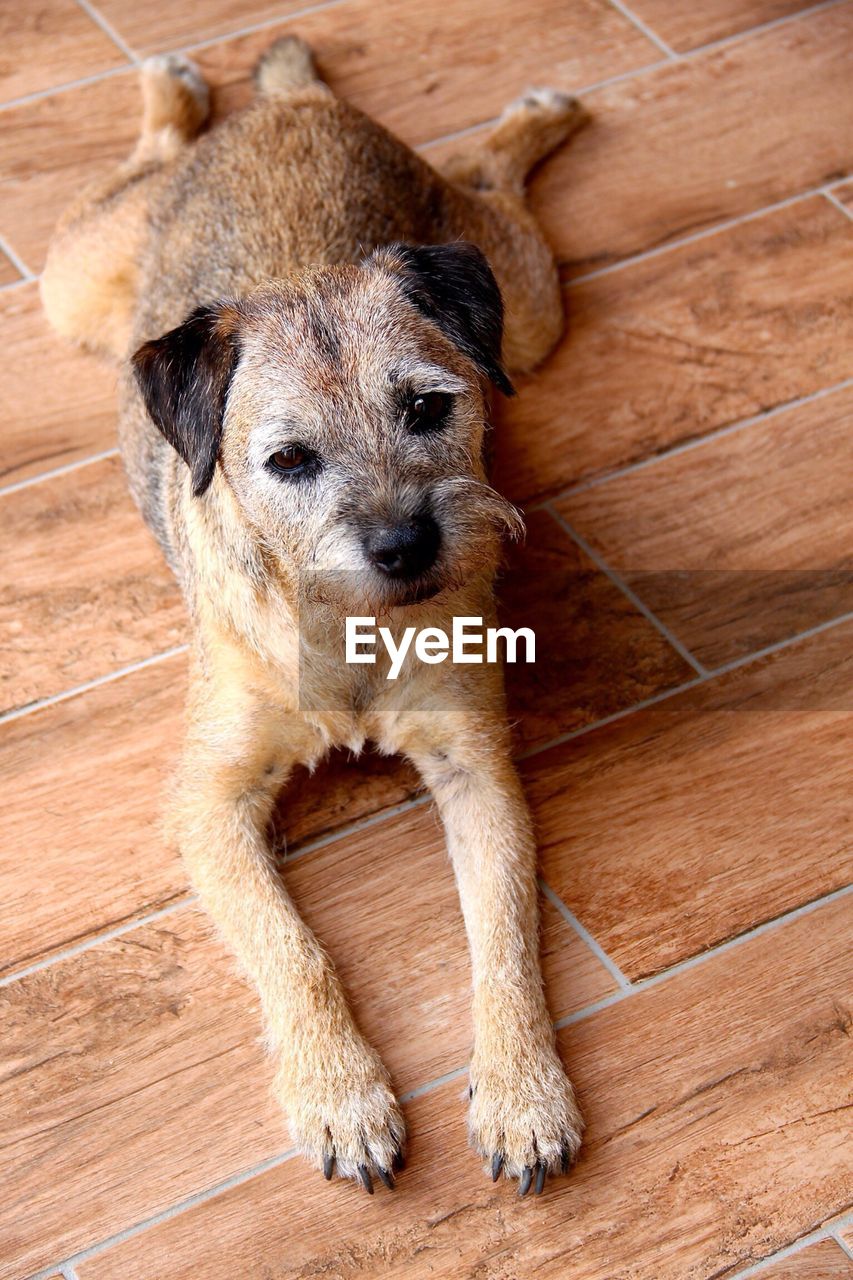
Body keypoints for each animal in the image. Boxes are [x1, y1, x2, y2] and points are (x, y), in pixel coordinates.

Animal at [39, 37, 584, 1198]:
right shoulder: (209, 805)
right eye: (287, 461)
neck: (343, 625)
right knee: (139, 167)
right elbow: (292, 948)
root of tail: (289, 107)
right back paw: (170, 92)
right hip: (75, 279)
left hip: (524, 302)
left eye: (429, 407)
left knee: (493, 182)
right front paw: (342, 1095)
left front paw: (524, 1094)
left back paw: (538, 114)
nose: (406, 546)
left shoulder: (478, 771)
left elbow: (505, 941)